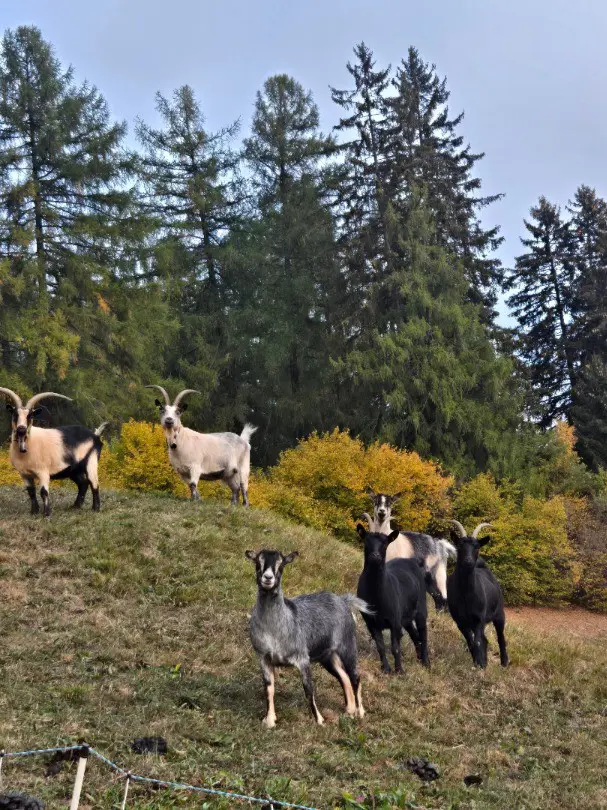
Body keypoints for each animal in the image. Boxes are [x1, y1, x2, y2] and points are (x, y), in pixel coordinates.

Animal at [0, 387, 108, 516]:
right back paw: (75, 506)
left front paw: (46, 513)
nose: (21, 429)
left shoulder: (43, 471)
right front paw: (34, 512)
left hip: (91, 461)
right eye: (15, 414)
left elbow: (43, 492)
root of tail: (95, 436)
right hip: (73, 470)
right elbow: (31, 492)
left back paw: (95, 508)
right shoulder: (24, 474)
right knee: (83, 482)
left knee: (94, 483)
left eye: (30, 415)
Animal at [246, 548, 368, 727]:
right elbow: (268, 688)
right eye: (258, 562)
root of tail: (344, 601)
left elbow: (308, 689)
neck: (275, 629)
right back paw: (350, 711)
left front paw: (319, 720)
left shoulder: (302, 658)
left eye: (281, 564)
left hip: (348, 646)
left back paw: (360, 712)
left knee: (355, 676)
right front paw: (269, 720)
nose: (268, 578)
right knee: (343, 677)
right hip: (327, 656)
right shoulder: (264, 657)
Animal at [356, 524, 430, 673]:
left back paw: (426, 662)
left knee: (423, 633)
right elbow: (380, 647)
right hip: (406, 615)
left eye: (385, 544)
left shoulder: (394, 620)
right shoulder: (370, 622)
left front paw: (399, 671)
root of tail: (412, 561)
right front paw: (386, 669)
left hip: (421, 607)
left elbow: (395, 648)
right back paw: (419, 658)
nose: (375, 556)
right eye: (366, 541)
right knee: (414, 634)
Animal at [446, 520, 509, 669]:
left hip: (499, 614)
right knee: (485, 640)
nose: (468, 561)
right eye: (459, 545)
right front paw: (479, 663)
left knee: (500, 638)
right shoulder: (460, 621)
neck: (466, 595)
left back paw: (504, 663)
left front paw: (480, 663)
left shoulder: (479, 618)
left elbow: (477, 642)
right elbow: (471, 642)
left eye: (477, 546)